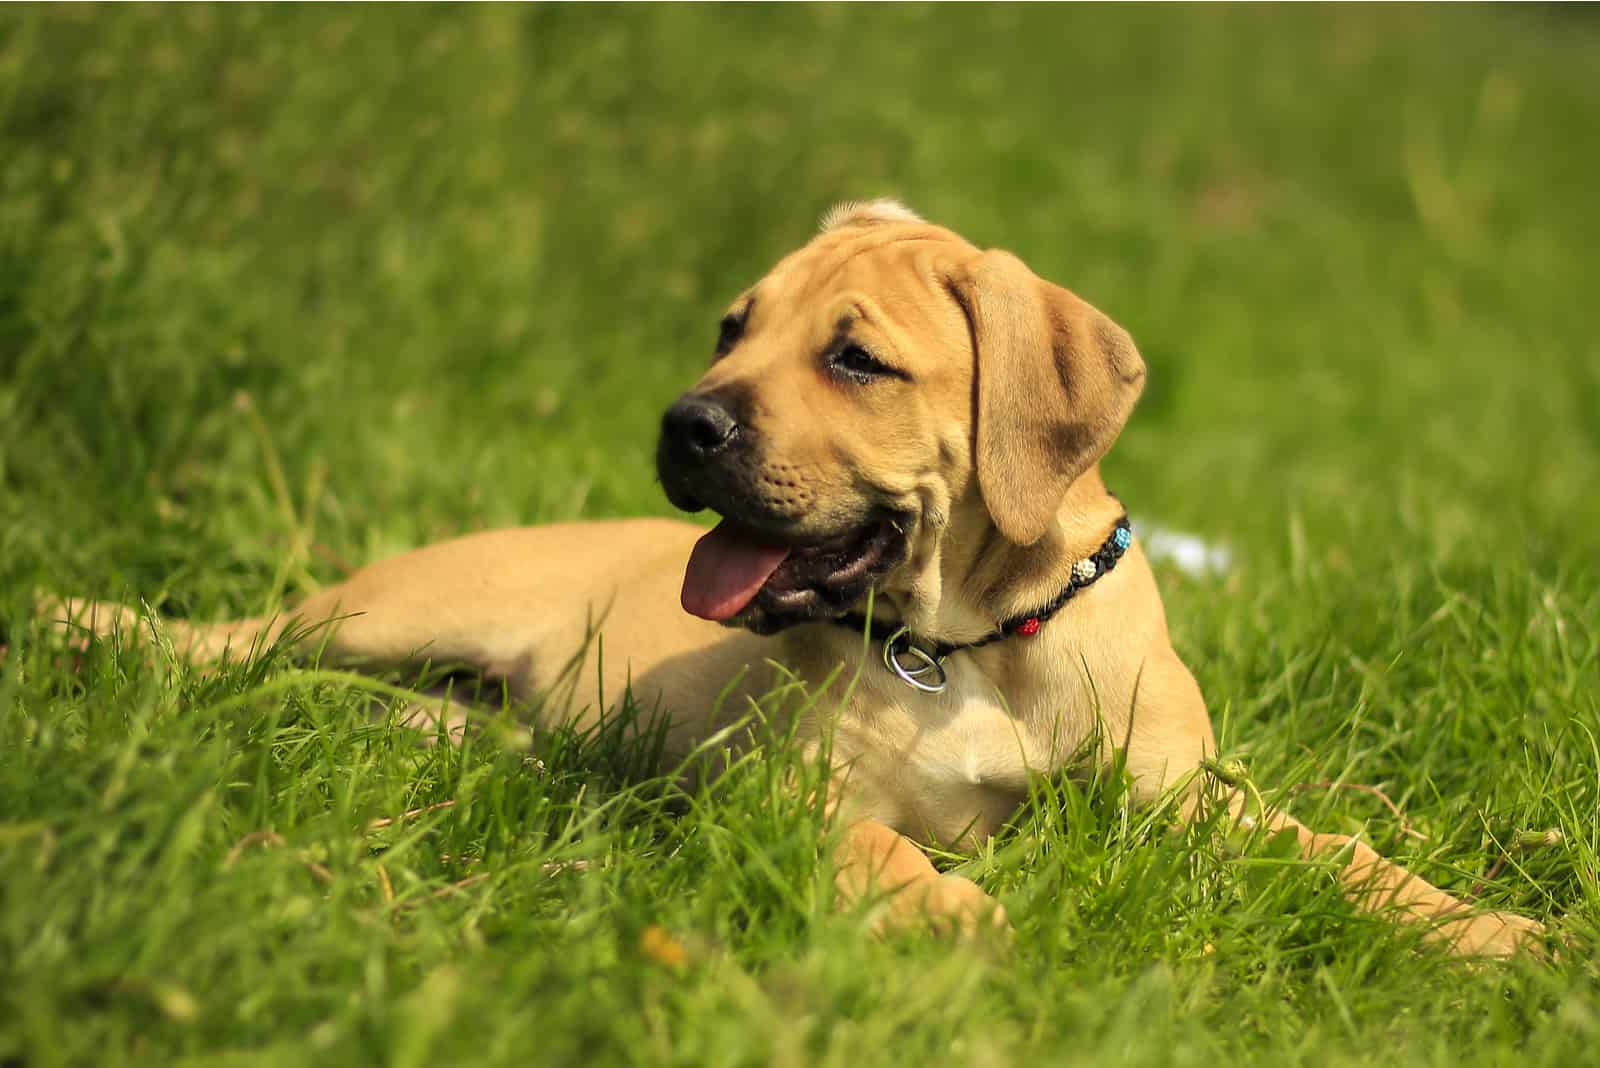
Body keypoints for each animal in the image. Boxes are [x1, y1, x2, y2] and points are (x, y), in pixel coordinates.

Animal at [50, 204, 1542, 952]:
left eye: (855, 360)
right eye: (731, 327)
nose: (683, 424)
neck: (977, 641)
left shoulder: (1184, 803)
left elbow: (1341, 857)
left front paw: (1494, 935)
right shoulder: (795, 794)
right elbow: (879, 845)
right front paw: (950, 912)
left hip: (448, 702)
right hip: (385, 608)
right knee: (231, 642)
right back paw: (78, 625)